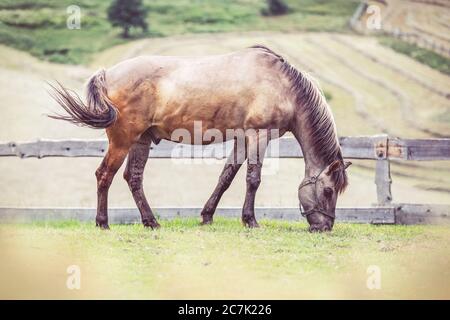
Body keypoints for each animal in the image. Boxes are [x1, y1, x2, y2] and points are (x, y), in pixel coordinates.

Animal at [49, 45, 352, 232]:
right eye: (328, 191)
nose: (325, 227)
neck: (283, 85)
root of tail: (107, 74)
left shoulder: (242, 138)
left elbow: (227, 176)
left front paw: (207, 216)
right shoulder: (258, 135)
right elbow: (253, 179)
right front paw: (250, 221)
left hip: (141, 140)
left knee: (133, 179)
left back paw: (151, 222)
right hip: (122, 141)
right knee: (104, 175)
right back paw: (103, 223)